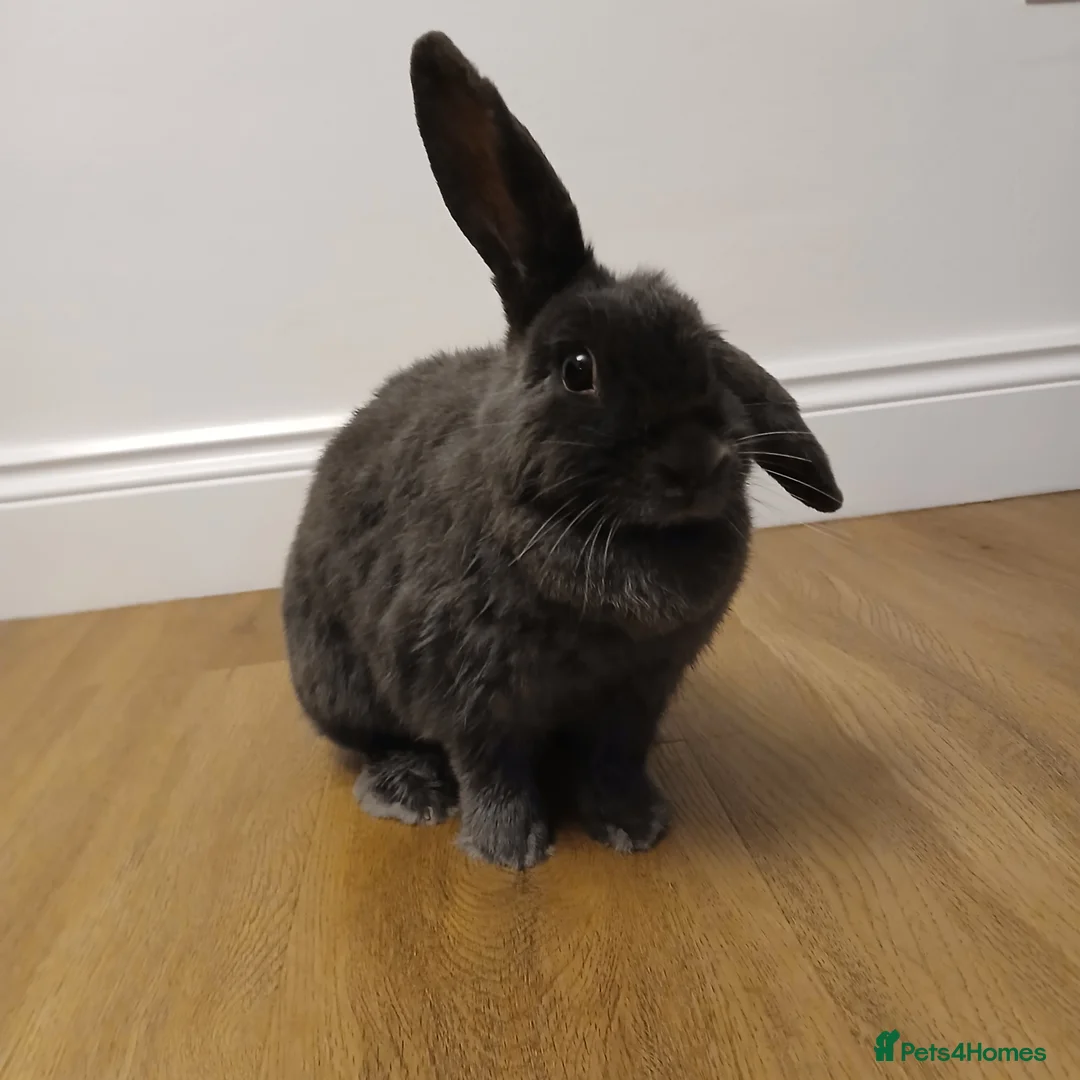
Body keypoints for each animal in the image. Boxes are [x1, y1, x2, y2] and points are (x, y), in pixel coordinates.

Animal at [281, 30, 843, 870]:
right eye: (579, 369)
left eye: (708, 357)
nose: (695, 462)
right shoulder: (471, 694)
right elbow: (493, 770)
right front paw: (507, 851)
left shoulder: (638, 693)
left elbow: (613, 759)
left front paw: (634, 826)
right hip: (336, 680)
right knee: (375, 742)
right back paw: (409, 792)